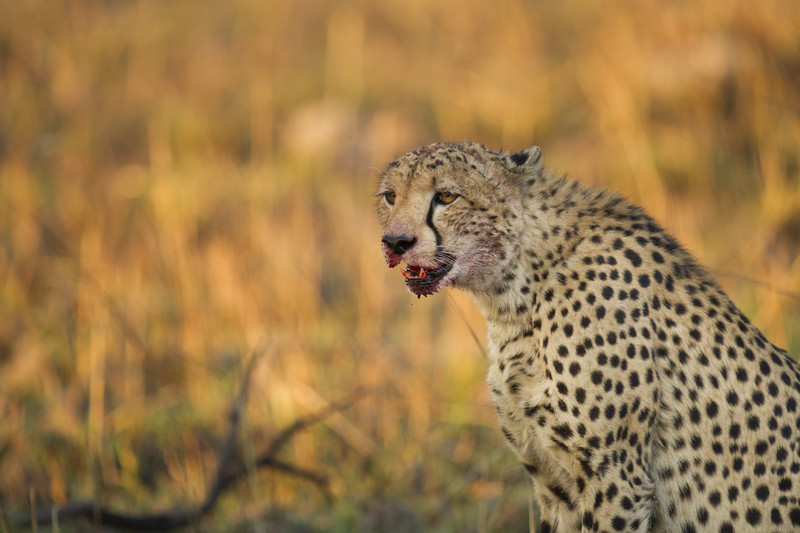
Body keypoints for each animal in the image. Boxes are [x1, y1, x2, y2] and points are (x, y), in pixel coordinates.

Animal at [376, 141, 800, 532]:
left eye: (447, 197)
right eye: (390, 197)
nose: (396, 242)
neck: (518, 292)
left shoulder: (615, 478)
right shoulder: (553, 483)